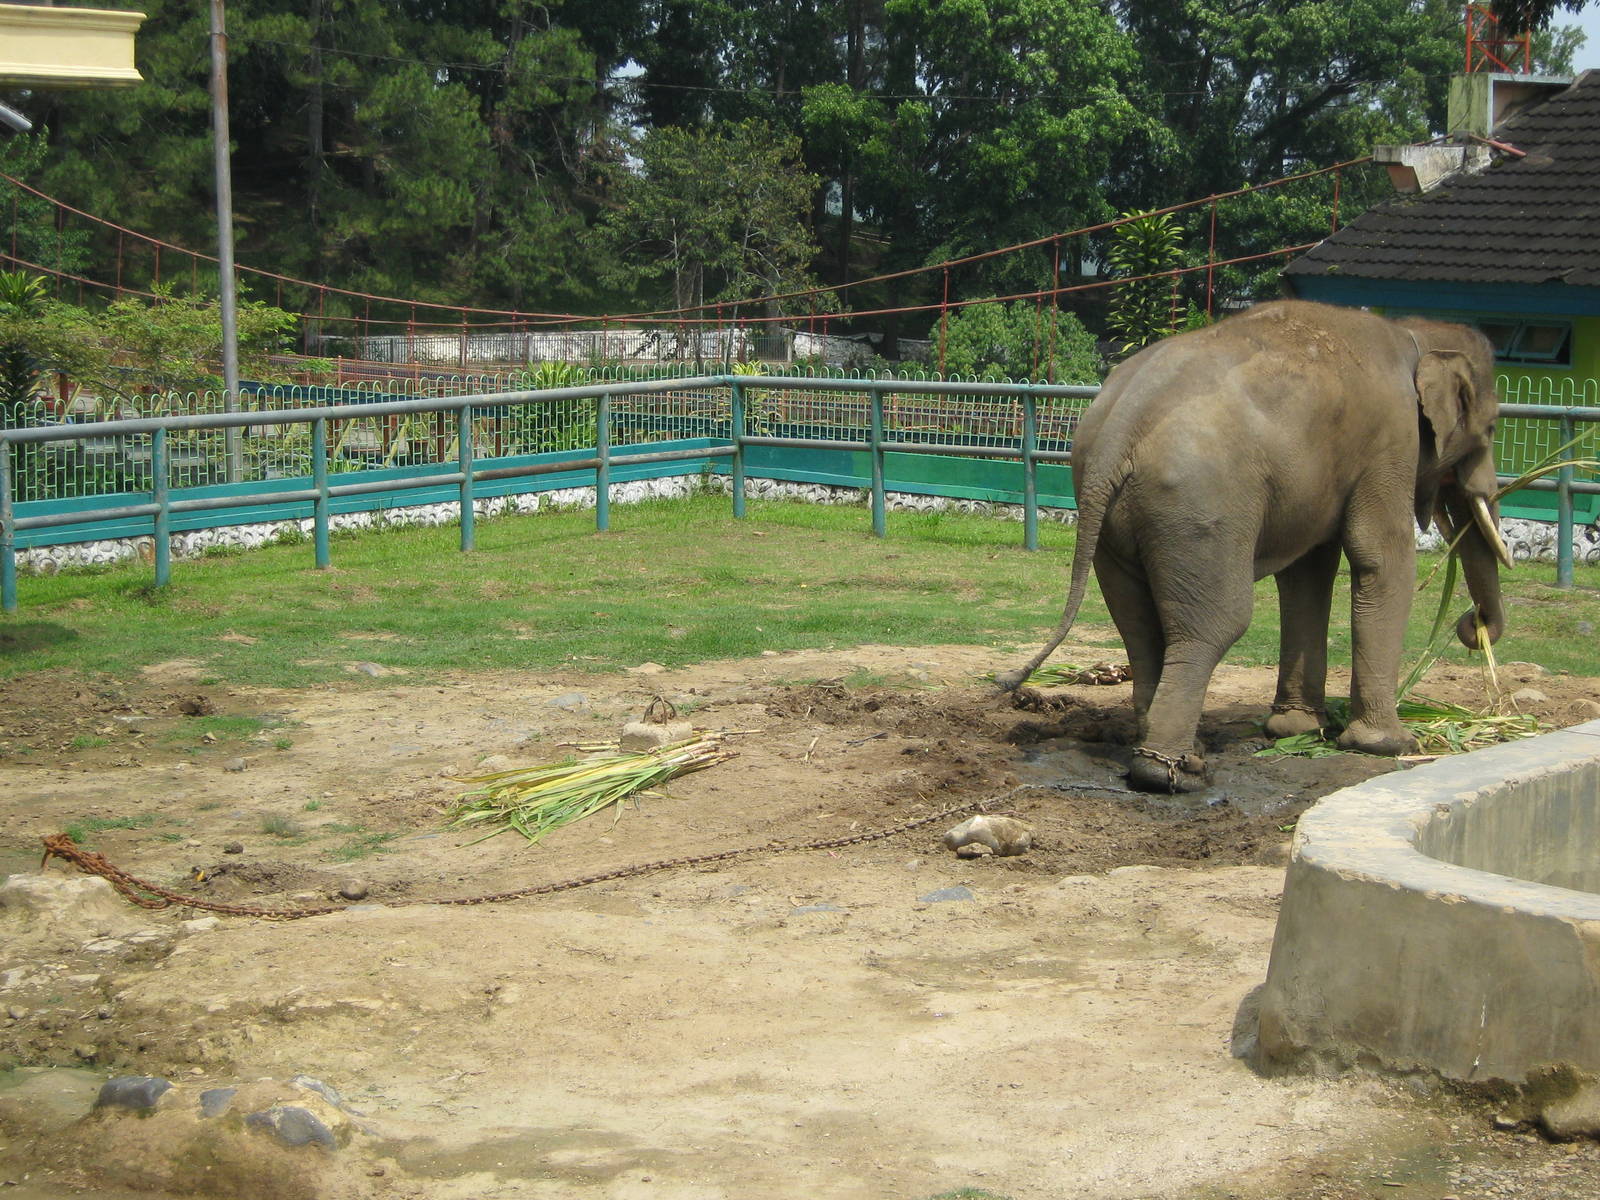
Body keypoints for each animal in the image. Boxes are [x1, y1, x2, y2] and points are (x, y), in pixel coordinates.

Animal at [996, 299, 1511, 794]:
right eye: (1490, 428)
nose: (1473, 625)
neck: (1415, 330)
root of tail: (1117, 431)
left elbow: (1307, 573)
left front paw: (1295, 731)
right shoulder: (1390, 441)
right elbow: (1381, 560)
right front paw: (1392, 745)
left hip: (1114, 520)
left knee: (1139, 625)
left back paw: (1183, 752)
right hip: (1200, 509)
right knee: (1214, 625)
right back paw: (1171, 773)